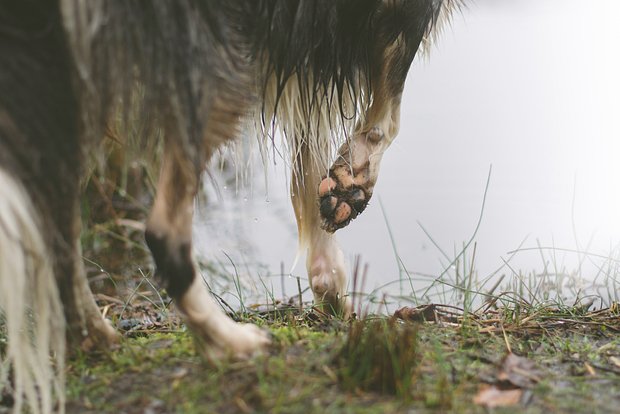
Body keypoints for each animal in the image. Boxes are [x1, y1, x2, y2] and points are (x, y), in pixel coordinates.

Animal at [0, 1, 460, 412]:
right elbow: (389, 109)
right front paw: (353, 182)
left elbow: (310, 150)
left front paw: (331, 276)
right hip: (213, 62)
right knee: (162, 231)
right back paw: (228, 342)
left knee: (57, 230)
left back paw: (96, 336)